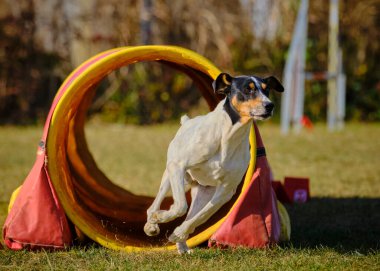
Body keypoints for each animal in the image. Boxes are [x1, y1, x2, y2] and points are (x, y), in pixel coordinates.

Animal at [144, 73, 284, 255]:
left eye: (267, 90)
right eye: (248, 89)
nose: (269, 105)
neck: (228, 136)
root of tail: (187, 122)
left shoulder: (225, 190)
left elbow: (202, 216)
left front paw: (179, 233)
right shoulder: (178, 166)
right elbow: (180, 205)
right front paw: (160, 217)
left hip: (203, 193)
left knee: (193, 213)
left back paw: (182, 246)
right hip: (170, 174)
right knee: (155, 205)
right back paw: (152, 224)